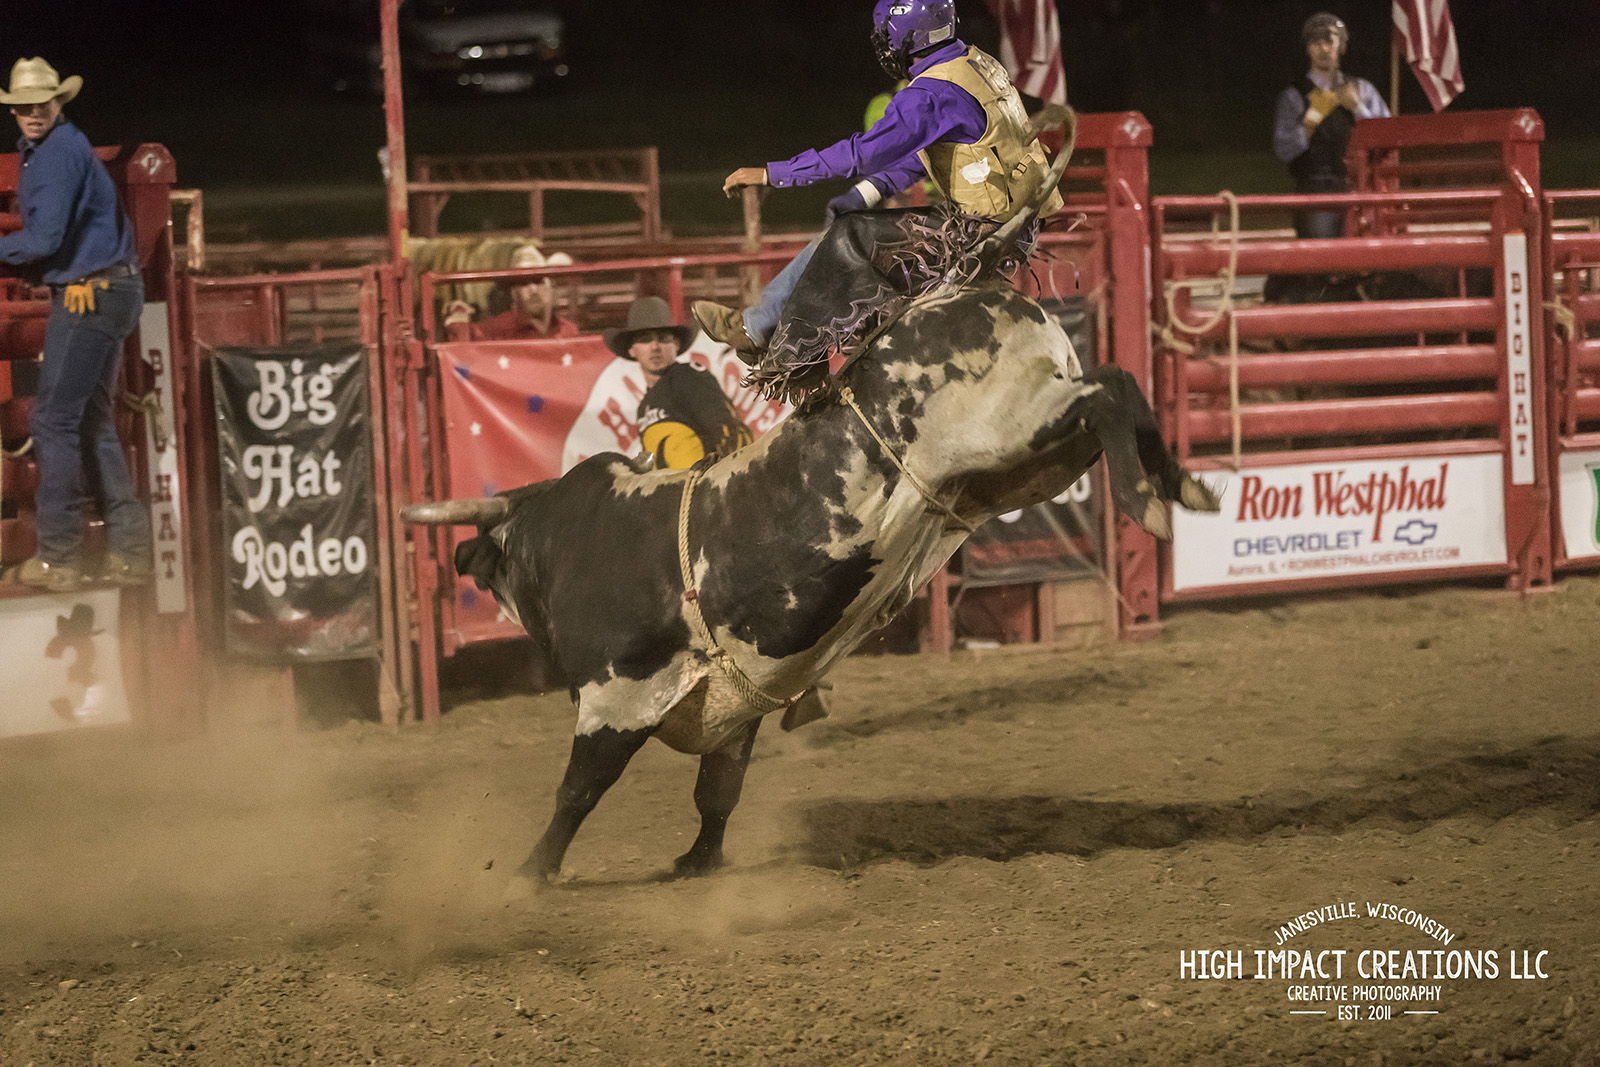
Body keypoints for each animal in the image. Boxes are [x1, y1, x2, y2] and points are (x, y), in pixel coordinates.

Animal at [406, 151, 1216, 883]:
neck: (565, 545)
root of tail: (970, 270)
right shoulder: (734, 711)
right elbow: (718, 792)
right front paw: (697, 864)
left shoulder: (618, 698)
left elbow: (579, 790)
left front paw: (528, 873)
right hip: (1028, 457)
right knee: (1116, 384)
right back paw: (1183, 488)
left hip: (1012, 427)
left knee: (1108, 392)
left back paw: (1150, 502)